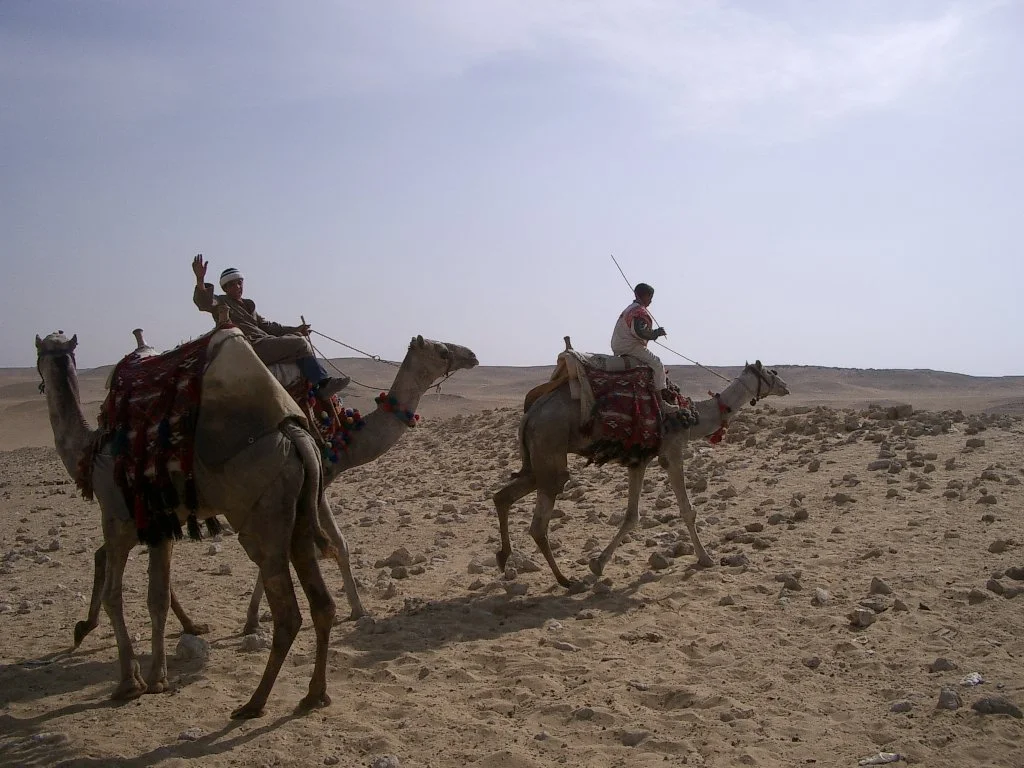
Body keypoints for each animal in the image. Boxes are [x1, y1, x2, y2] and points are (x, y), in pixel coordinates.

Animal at [37, 329, 340, 718]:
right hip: (300, 514)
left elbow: (113, 592)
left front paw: (130, 681)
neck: (88, 452)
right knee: (322, 602)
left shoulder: (116, 518)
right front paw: (160, 671)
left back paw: (253, 703)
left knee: (287, 612)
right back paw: (314, 695)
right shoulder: (158, 525)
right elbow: (158, 593)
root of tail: (299, 438)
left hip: (261, 517)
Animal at [71, 335, 479, 640]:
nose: (471, 354)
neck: (343, 436)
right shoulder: (316, 482)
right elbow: (337, 546)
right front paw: (356, 609)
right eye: (442, 350)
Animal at [493, 359, 790, 590]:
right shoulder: (672, 451)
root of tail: (530, 415)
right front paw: (705, 558)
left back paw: (504, 557)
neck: (693, 417)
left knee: (504, 496)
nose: (785, 386)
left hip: (537, 460)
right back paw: (565, 580)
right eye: (771, 372)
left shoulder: (639, 461)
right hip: (550, 444)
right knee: (539, 521)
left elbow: (631, 516)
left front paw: (597, 564)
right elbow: (686, 510)